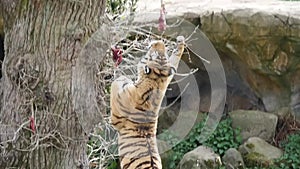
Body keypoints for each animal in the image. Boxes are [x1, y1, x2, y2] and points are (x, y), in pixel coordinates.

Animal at [110, 36, 185, 169]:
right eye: (163, 54)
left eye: (154, 55)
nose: (158, 42)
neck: (156, 81)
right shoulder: (167, 79)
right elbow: (174, 60)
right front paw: (180, 42)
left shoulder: (116, 118)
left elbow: (118, 83)